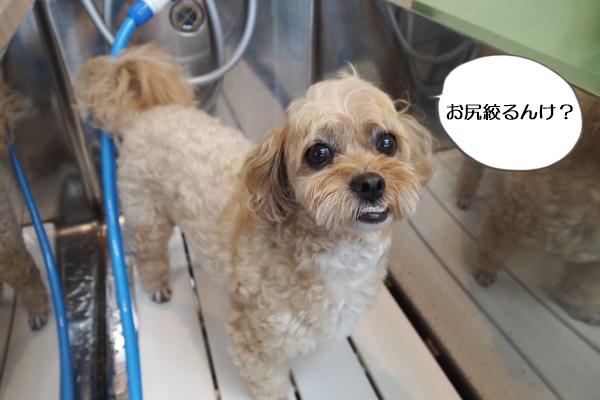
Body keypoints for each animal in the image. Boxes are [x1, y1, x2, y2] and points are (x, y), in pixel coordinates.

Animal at [75, 42, 433, 399]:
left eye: (387, 142)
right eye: (318, 153)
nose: (371, 183)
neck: (338, 256)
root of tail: (145, 114)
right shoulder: (254, 341)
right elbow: (270, 385)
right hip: (146, 212)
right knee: (149, 253)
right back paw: (158, 286)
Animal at [456, 89, 600, 325]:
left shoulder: (593, 264)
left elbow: (585, 288)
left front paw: (579, 309)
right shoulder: (512, 217)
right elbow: (492, 247)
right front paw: (485, 271)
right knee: (471, 170)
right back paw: (464, 194)